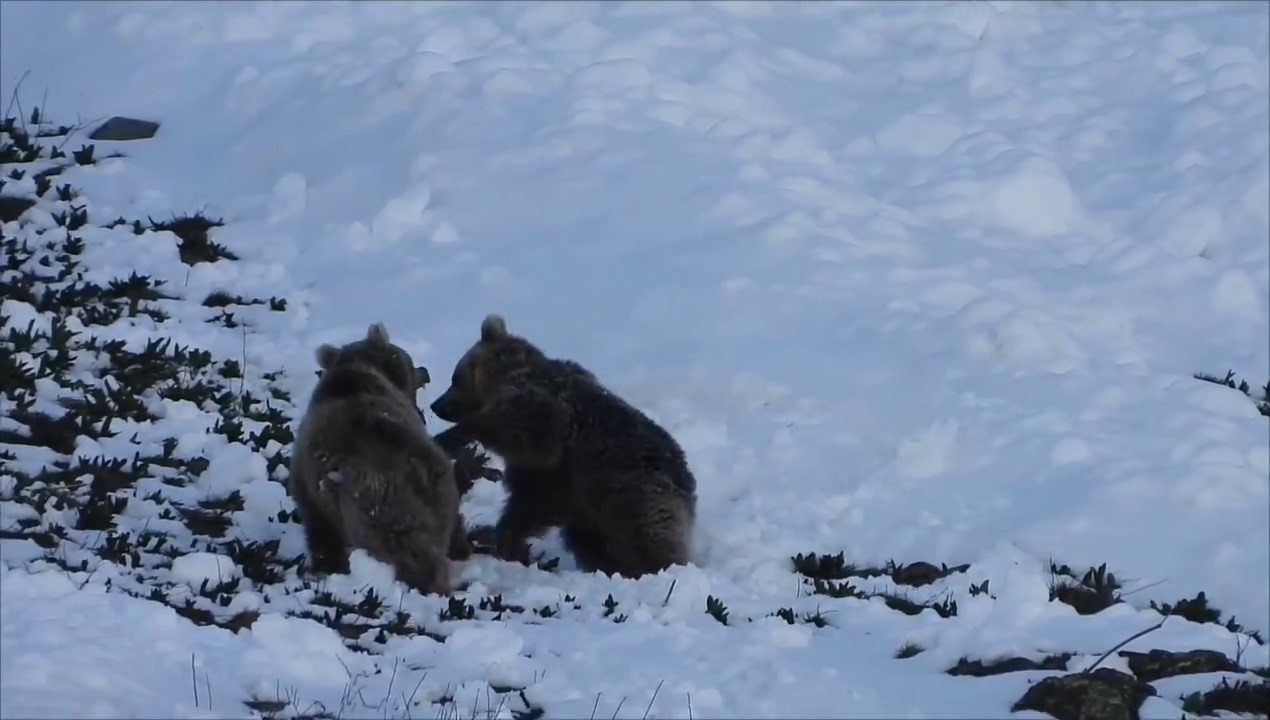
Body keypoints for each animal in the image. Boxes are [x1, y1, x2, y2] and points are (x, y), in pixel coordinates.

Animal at [288, 323, 467, 594]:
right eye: (409, 359)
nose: (425, 371)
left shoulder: (309, 487)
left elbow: (320, 531)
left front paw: (323, 566)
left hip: (377, 511)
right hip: (439, 486)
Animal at [431, 314, 701, 581]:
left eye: (454, 378)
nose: (436, 405)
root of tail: (688, 487)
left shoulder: (545, 426)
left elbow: (523, 443)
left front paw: (449, 437)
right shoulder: (552, 474)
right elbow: (531, 502)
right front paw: (503, 537)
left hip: (633, 493)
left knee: (646, 536)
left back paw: (655, 567)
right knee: (588, 539)